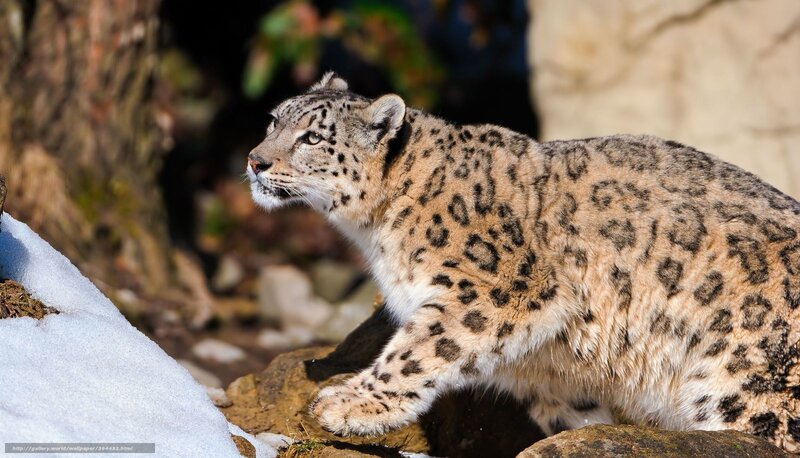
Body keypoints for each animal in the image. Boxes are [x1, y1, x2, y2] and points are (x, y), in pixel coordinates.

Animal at [246, 72, 800, 453]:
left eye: (313, 138)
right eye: (274, 120)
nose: (254, 160)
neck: (376, 232)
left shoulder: (495, 291)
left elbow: (416, 353)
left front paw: (348, 405)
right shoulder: (547, 369)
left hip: (753, 385)